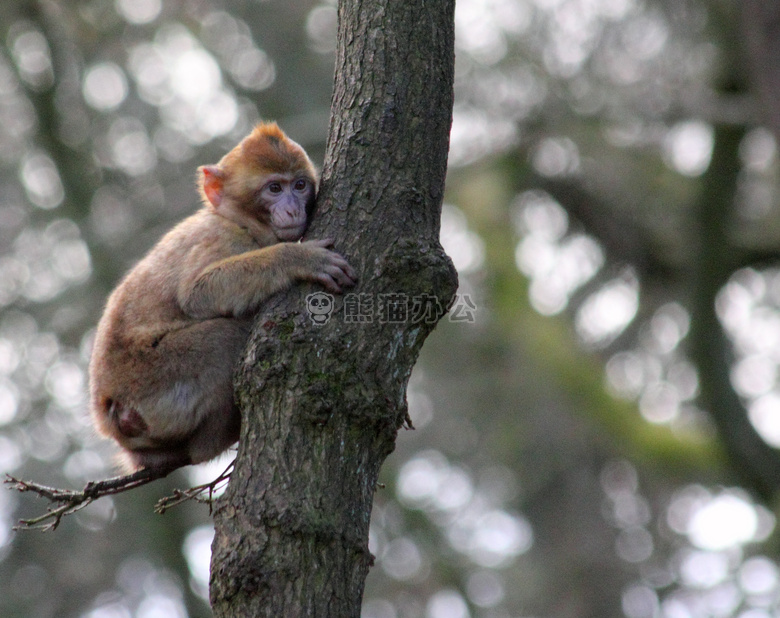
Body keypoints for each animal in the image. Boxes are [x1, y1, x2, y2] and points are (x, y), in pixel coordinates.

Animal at [90, 122, 358, 470]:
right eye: (274, 188)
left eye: (299, 185)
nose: (292, 208)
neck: (238, 221)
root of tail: (109, 412)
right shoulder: (222, 239)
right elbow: (197, 294)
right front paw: (299, 259)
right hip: (152, 378)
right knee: (226, 337)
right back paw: (216, 439)